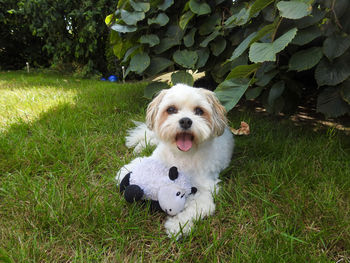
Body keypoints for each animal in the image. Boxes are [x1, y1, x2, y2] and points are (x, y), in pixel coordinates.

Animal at [116, 83, 234, 238]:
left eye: (199, 111)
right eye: (171, 109)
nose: (185, 121)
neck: (181, 156)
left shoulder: (205, 190)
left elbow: (195, 208)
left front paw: (177, 225)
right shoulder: (157, 158)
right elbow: (143, 161)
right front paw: (126, 171)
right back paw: (138, 146)